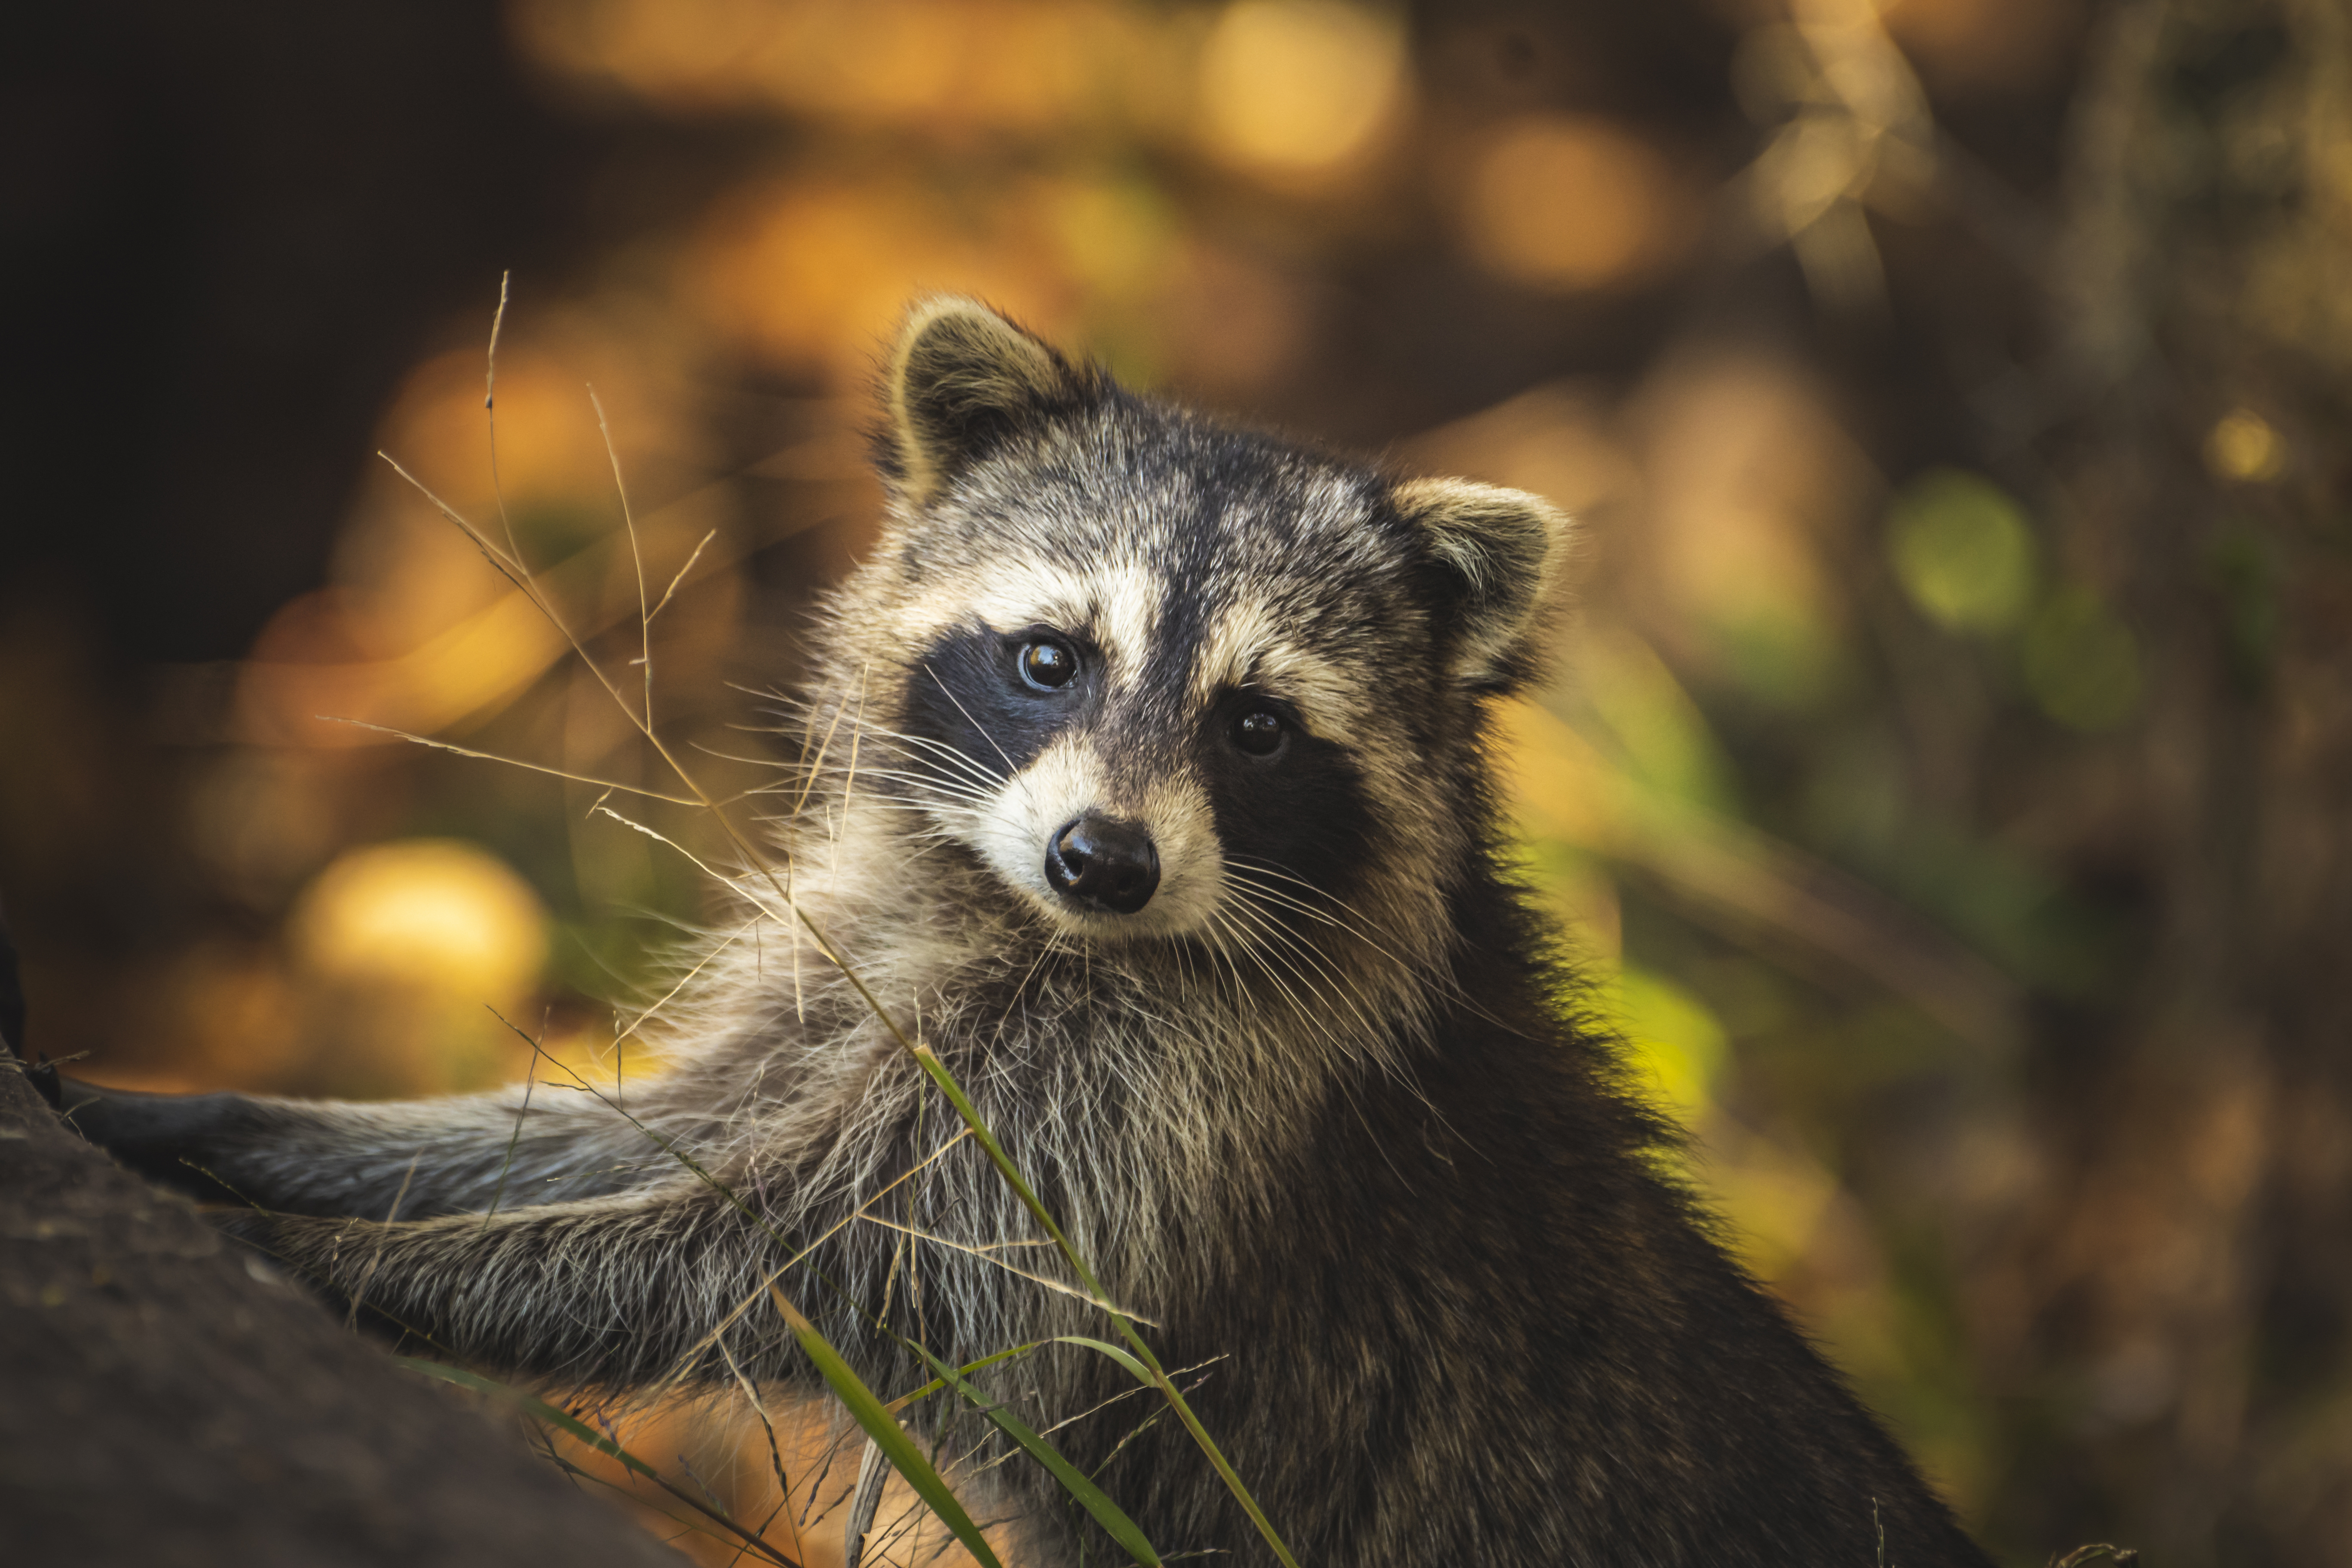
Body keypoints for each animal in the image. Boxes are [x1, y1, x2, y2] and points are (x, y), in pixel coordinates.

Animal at [59, 297, 1985, 1568]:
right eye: (1049, 656)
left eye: (1255, 727)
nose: (1103, 861)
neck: (1028, 924)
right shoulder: (868, 971)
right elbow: (645, 1140)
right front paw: (263, 1138)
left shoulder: (1170, 1104)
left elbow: (785, 1257)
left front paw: (348, 1261)